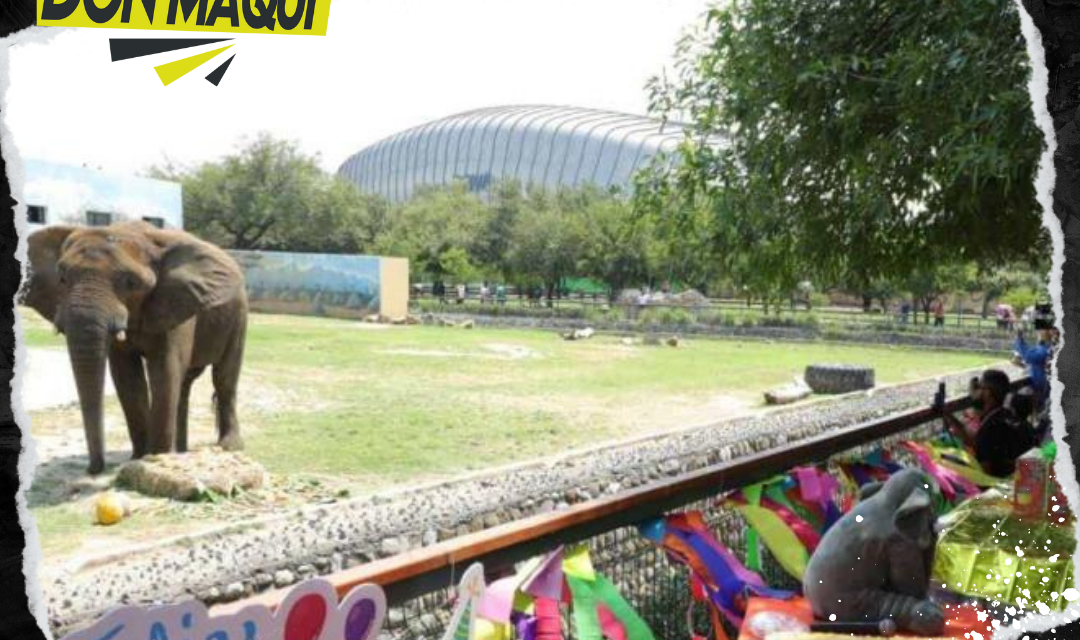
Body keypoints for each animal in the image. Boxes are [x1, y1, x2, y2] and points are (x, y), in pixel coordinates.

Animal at [23, 220, 247, 474]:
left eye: (131, 283)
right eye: (62, 278)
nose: (94, 469)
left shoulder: (175, 305)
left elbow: (164, 370)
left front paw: (157, 458)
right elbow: (127, 377)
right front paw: (140, 458)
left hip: (239, 315)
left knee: (224, 377)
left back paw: (228, 447)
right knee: (185, 384)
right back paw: (181, 452)